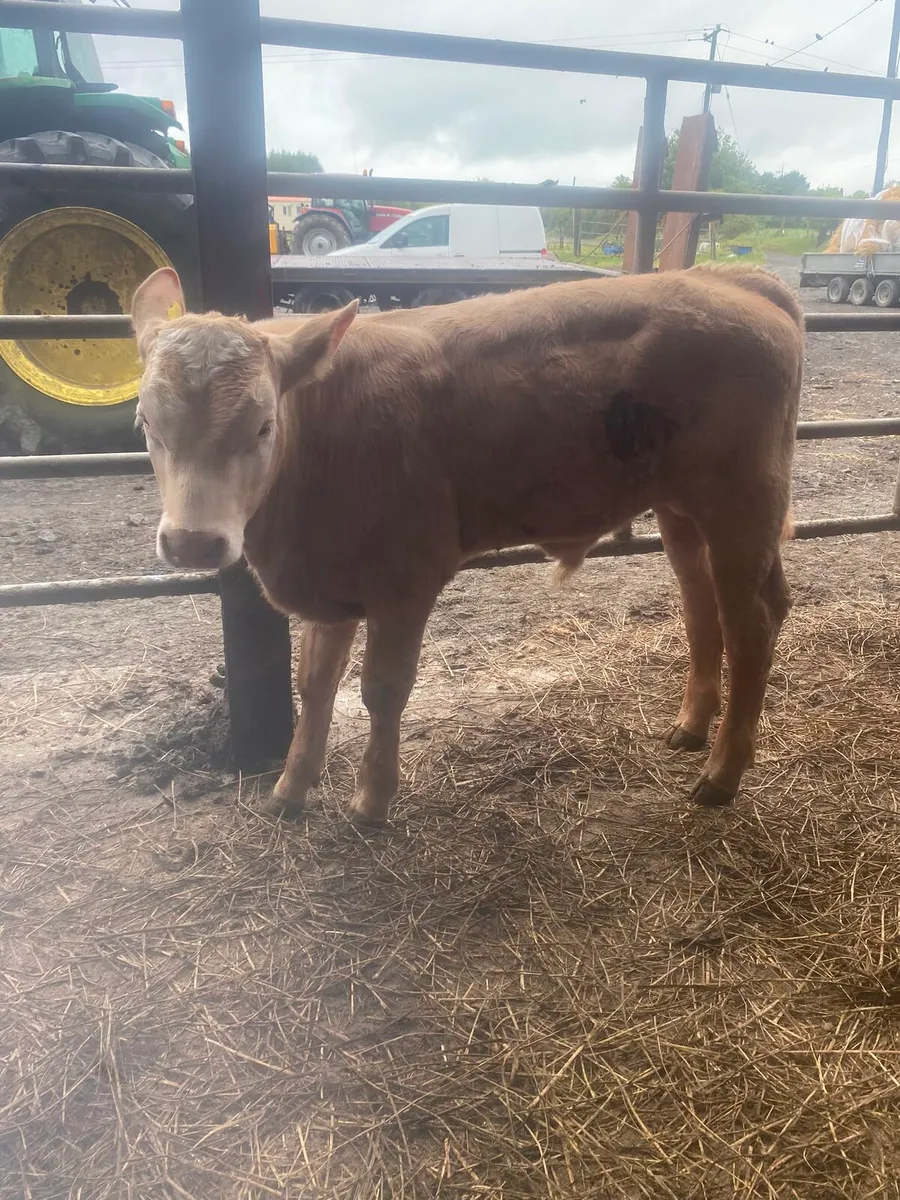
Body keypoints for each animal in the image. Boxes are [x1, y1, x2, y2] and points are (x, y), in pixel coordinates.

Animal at [131, 263, 804, 826]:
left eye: (264, 426)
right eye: (145, 422)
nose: (192, 542)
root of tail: (732, 279)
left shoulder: (405, 578)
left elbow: (382, 688)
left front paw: (372, 801)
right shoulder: (331, 578)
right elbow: (315, 683)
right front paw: (291, 788)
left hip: (742, 506)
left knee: (752, 624)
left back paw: (721, 773)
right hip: (683, 512)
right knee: (702, 606)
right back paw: (691, 727)